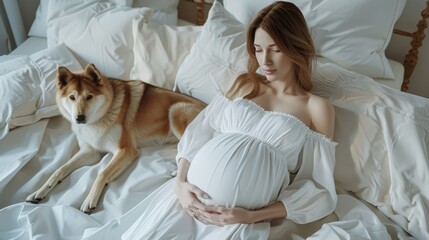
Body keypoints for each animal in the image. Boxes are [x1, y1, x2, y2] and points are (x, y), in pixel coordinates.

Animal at [25, 63, 206, 214]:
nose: (79, 118)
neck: (98, 119)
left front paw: (90, 199)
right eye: (72, 97)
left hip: (175, 111)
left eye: (89, 96)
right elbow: (60, 169)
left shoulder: (126, 150)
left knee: (194, 148)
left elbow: (102, 173)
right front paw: (39, 191)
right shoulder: (90, 152)